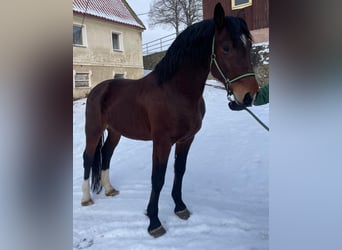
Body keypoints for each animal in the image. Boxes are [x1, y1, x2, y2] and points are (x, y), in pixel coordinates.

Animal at [81, 2, 260, 236]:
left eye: (249, 45)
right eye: (227, 47)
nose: (249, 96)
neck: (175, 92)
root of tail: (98, 89)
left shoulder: (186, 140)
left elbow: (179, 171)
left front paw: (180, 207)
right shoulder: (162, 142)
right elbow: (158, 178)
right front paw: (154, 222)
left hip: (115, 131)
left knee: (106, 154)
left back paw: (110, 189)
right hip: (93, 130)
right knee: (88, 157)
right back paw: (86, 199)